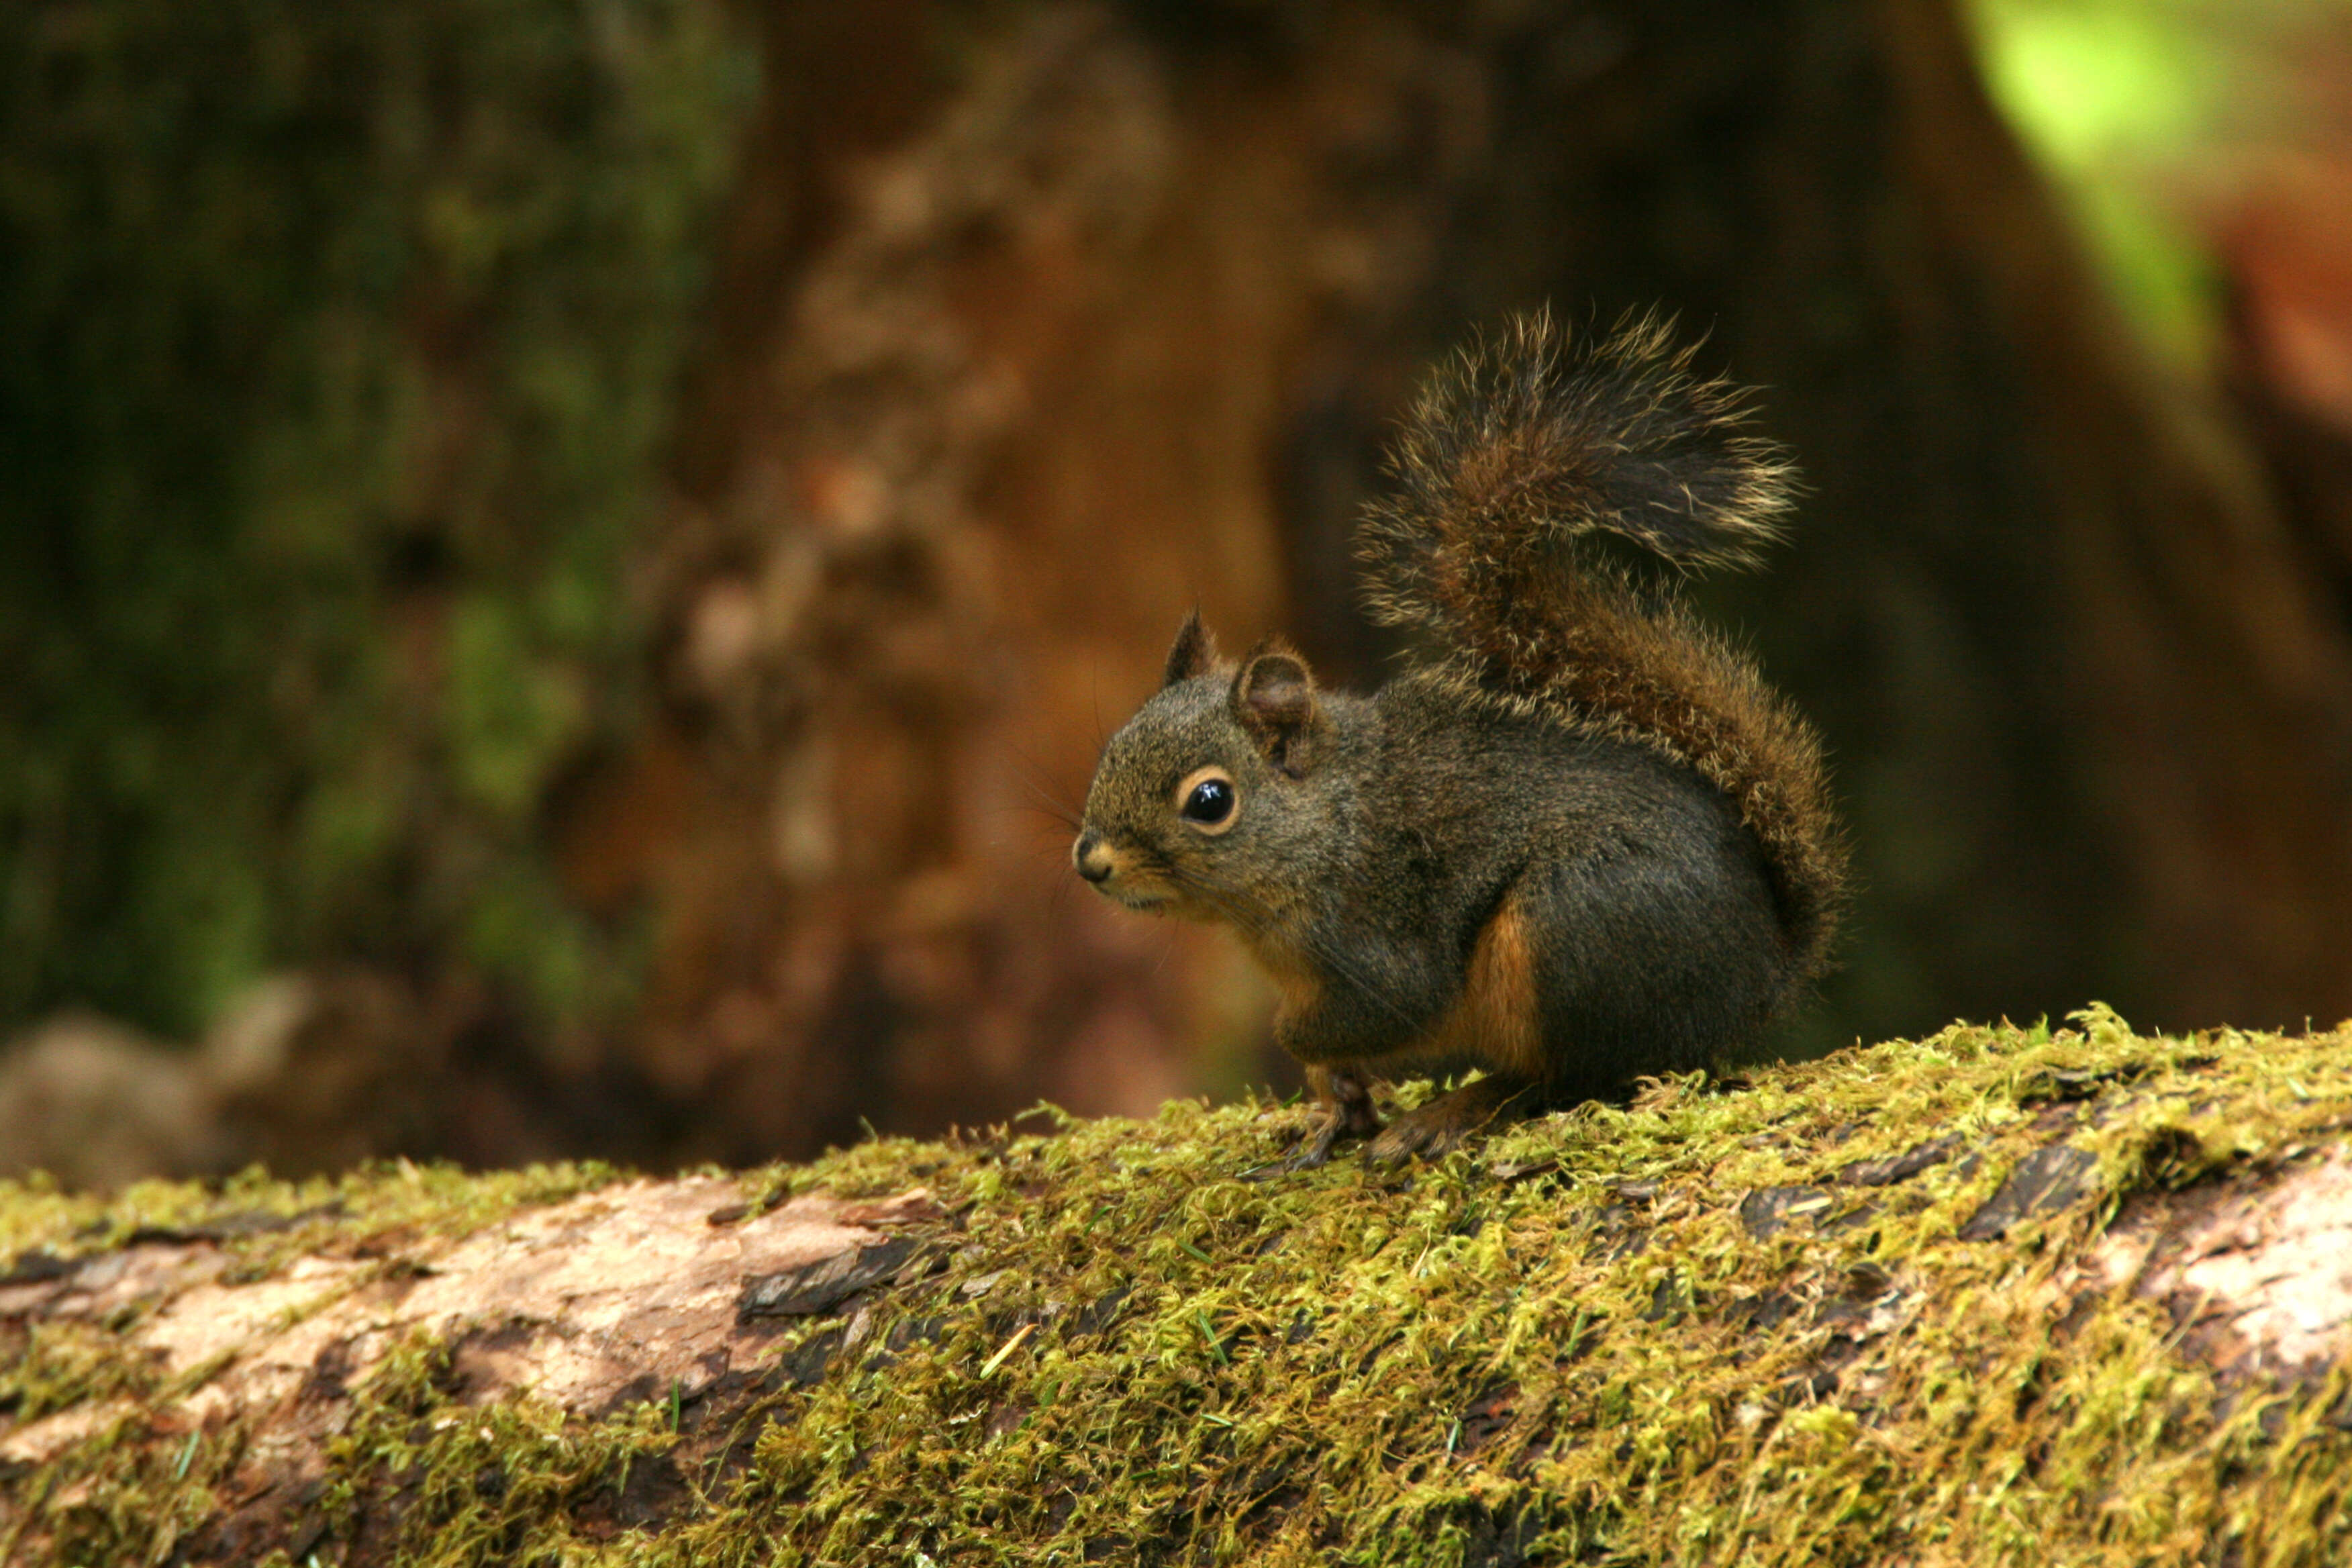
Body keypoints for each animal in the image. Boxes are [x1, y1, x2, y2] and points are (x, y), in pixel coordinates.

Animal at [1072, 312, 1853, 1166]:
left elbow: (1381, 1007)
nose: (1091, 862)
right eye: (1112, 746)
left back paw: (1457, 1109)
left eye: (1211, 800)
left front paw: (1315, 1060)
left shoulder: (1377, 931)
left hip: (1571, 932)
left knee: (1583, 1074)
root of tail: (1767, 968)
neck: (1329, 826)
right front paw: (1335, 1100)